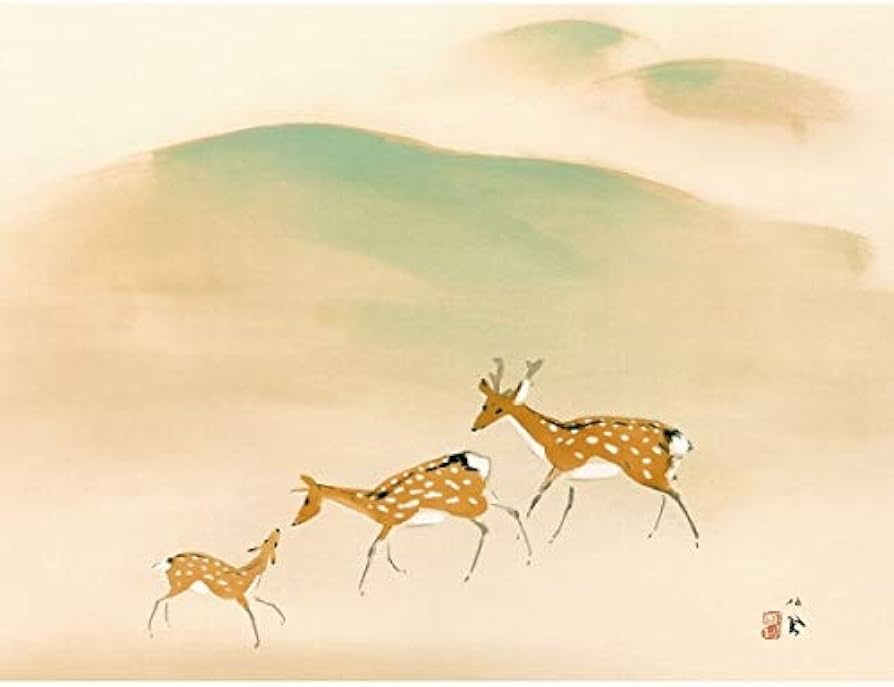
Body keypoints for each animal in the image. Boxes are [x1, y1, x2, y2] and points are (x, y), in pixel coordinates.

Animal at [148, 528, 285, 648]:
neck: (250, 575)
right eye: (269, 541)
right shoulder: (239, 595)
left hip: (178, 585)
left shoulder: (251, 595)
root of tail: (167, 562)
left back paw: (168, 624)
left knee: (166, 601)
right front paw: (257, 642)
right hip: (180, 583)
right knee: (159, 600)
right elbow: (252, 615)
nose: (277, 529)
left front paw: (282, 620)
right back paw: (150, 631)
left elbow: (270, 603)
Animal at [290, 451, 532, 595]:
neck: (373, 504)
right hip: (480, 497)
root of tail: (481, 461)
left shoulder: (390, 520)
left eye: (307, 499)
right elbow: (385, 546)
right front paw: (398, 569)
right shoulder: (391, 524)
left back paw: (469, 574)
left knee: (489, 526)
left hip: (465, 505)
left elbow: (372, 549)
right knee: (511, 511)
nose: (294, 522)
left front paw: (361, 588)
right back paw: (527, 556)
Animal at [471, 358, 700, 547]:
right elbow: (569, 503)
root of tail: (676, 438)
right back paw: (653, 533)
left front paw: (522, 535)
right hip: (661, 469)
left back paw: (696, 539)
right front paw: (552, 537)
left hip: (644, 468)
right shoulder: (569, 475)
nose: (474, 427)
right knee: (668, 495)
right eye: (484, 405)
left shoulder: (562, 464)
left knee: (674, 494)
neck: (549, 439)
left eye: (499, 409)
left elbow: (538, 494)